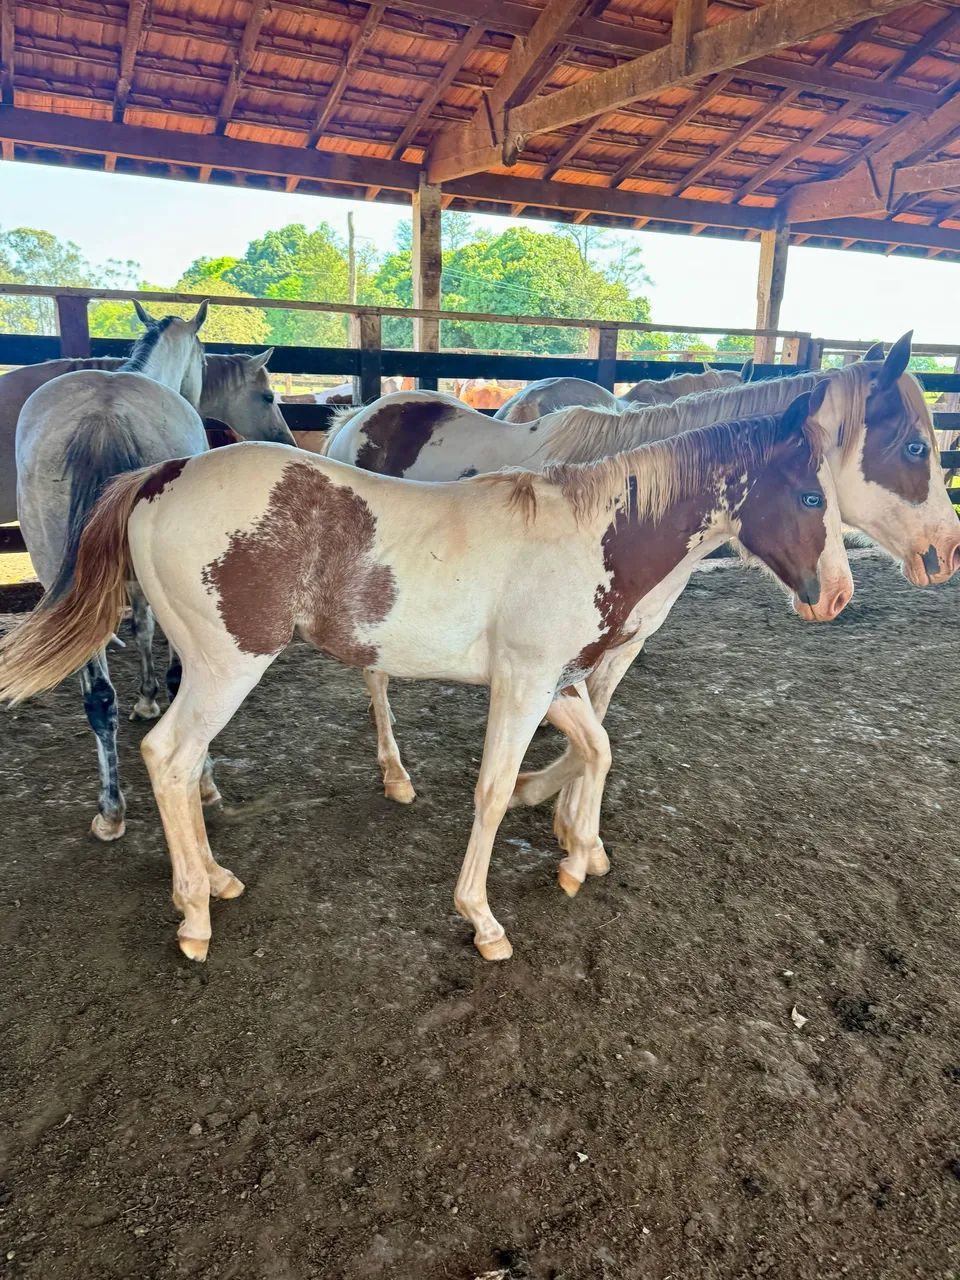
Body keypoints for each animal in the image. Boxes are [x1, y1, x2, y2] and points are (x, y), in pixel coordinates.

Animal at [0, 392, 852, 963]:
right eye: (811, 494)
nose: (837, 597)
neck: (589, 536)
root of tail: (160, 475)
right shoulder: (522, 686)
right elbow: (494, 790)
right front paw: (484, 919)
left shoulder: (558, 685)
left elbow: (597, 753)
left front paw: (577, 857)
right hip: (225, 665)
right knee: (168, 758)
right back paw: (194, 916)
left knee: (181, 764)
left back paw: (216, 878)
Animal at [13, 302, 212, 843]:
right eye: (205, 359)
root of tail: (103, 419)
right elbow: (148, 634)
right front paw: (150, 698)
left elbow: (139, 629)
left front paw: (143, 700)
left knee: (99, 700)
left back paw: (110, 809)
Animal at [324, 334, 960, 812]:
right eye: (914, 448)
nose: (946, 551)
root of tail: (356, 417)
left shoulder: (620, 643)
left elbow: (595, 728)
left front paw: (563, 813)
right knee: (374, 674)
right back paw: (395, 771)